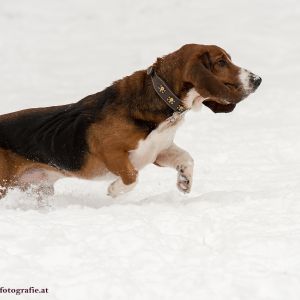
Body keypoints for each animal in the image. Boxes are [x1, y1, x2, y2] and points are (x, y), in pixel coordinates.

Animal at [0, 44, 262, 199]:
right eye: (221, 62)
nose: (258, 79)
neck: (162, 96)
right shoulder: (110, 151)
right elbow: (132, 176)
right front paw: (114, 191)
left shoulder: (159, 150)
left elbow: (187, 158)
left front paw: (185, 181)